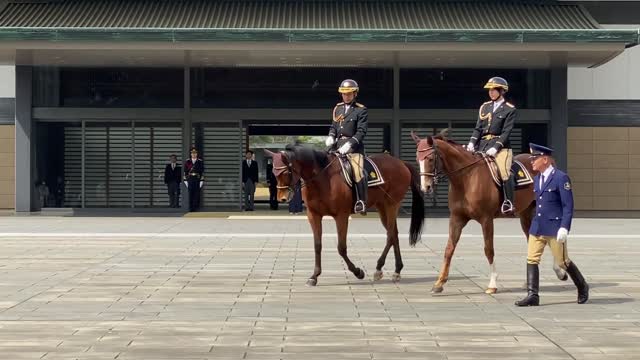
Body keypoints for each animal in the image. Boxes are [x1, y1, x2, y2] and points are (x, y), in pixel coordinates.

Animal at [264, 144, 424, 286]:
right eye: (274, 173)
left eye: (286, 172)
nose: (282, 198)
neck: (323, 177)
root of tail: (400, 162)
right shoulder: (313, 215)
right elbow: (317, 245)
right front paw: (314, 276)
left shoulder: (341, 215)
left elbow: (341, 247)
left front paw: (358, 272)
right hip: (382, 207)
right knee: (394, 234)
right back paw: (397, 270)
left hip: (391, 205)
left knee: (390, 235)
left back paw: (380, 268)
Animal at [410, 131, 564, 294]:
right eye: (417, 159)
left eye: (430, 158)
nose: (425, 187)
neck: (466, 178)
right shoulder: (457, 218)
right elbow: (449, 249)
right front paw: (439, 283)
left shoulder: (486, 219)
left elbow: (488, 249)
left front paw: (492, 284)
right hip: (525, 214)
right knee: (532, 239)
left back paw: (560, 270)